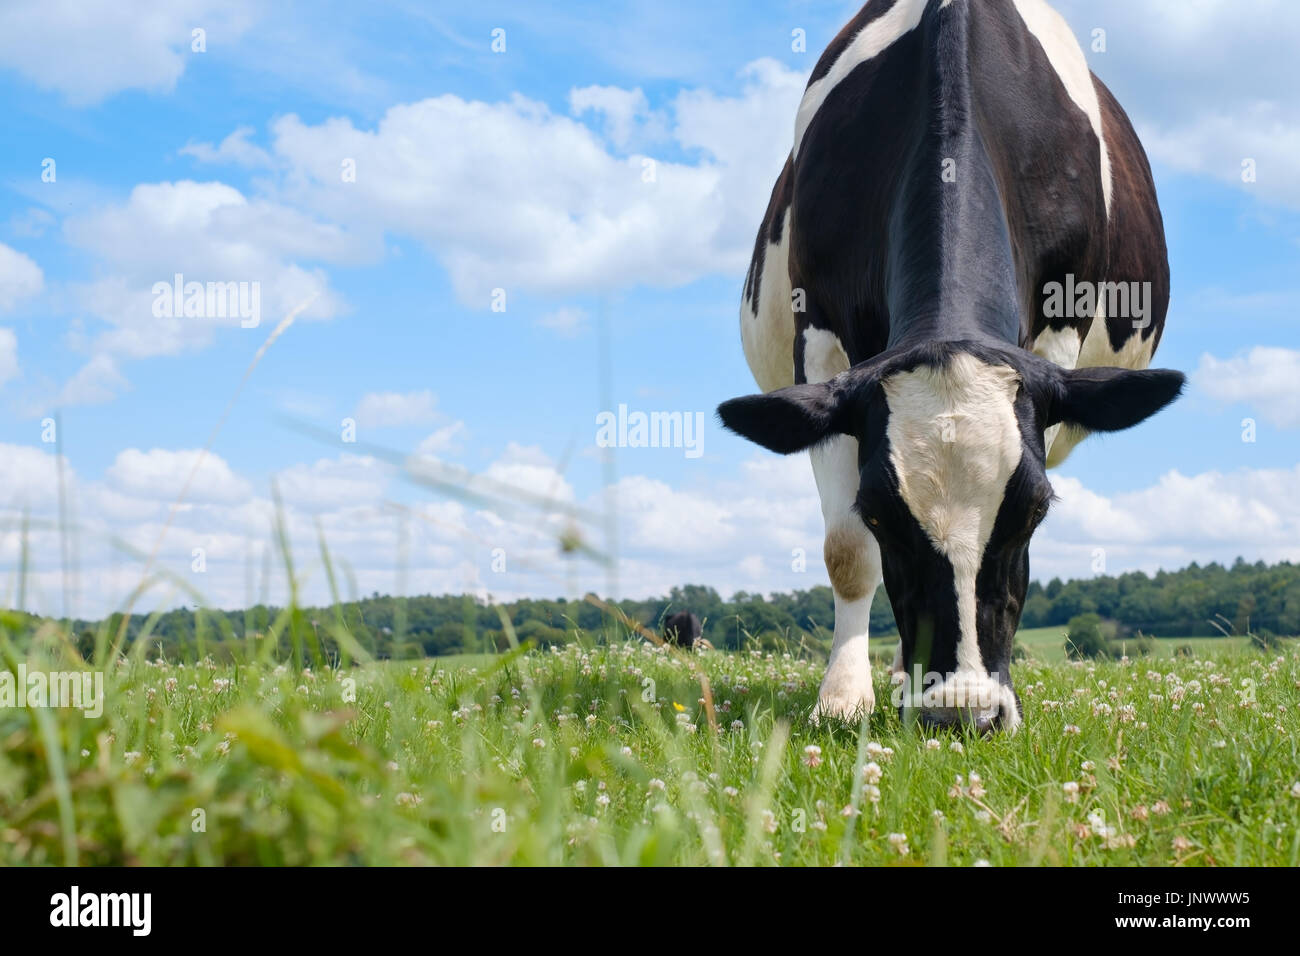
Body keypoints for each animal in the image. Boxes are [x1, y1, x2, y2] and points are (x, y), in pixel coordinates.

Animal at [719, 0, 1183, 732]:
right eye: (881, 514)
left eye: (1034, 510)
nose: (963, 712)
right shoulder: (819, 338)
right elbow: (845, 552)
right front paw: (843, 699)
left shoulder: (1058, 331)